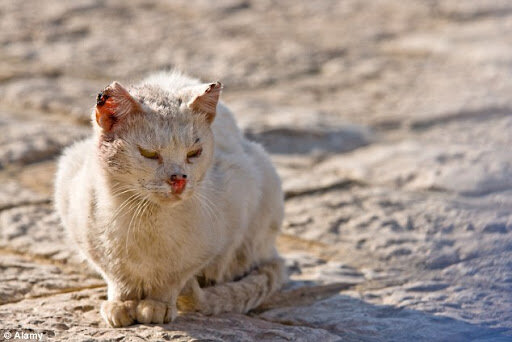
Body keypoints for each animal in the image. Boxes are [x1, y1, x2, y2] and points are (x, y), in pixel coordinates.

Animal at [56, 71, 288, 328]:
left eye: (194, 153)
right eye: (149, 153)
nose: (179, 179)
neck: (145, 221)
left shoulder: (224, 222)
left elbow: (171, 281)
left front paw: (157, 306)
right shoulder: (83, 228)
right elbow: (118, 279)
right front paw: (122, 304)